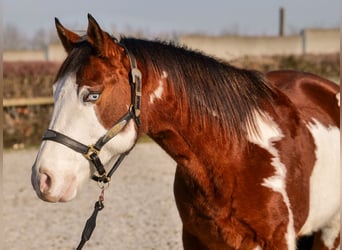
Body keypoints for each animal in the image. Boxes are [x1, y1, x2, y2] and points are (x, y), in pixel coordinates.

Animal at [31, 14, 340, 249]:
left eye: (92, 95)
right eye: (54, 92)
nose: (43, 179)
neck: (236, 157)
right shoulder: (195, 239)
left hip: (330, 232)